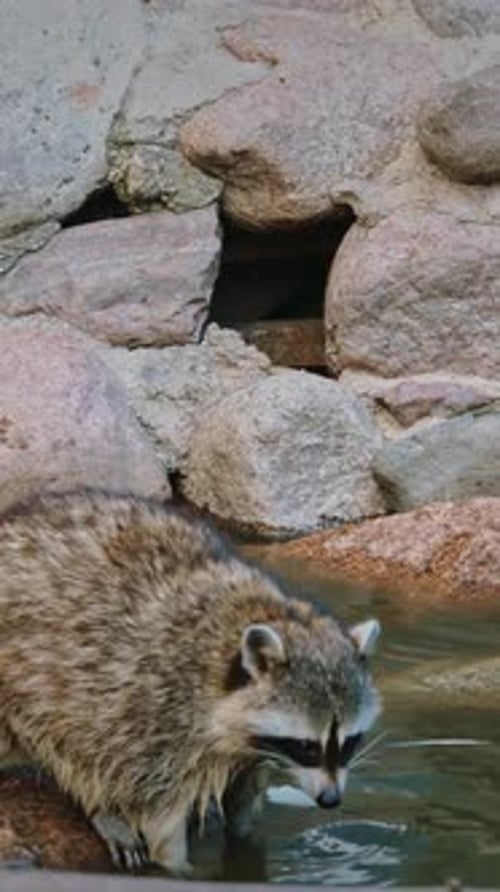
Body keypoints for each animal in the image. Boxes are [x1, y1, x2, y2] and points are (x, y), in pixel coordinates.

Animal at [0, 491, 381, 874]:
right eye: (306, 746)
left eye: (349, 741)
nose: (331, 799)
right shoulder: (153, 711)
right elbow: (158, 813)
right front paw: (175, 865)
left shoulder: (248, 748)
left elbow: (243, 800)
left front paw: (244, 841)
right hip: (31, 675)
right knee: (68, 740)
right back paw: (102, 810)